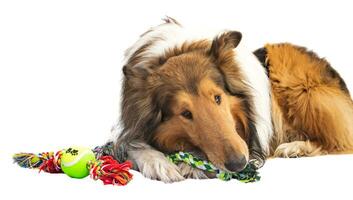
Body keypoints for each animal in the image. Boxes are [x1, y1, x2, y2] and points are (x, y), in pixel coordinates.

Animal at [112, 18, 352, 182]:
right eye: (185, 114)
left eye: (218, 98)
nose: (238, 163)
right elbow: (133, 145)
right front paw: (160, 164)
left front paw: (192, 166)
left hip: (295, 79)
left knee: (338, 141)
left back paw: (295, 147)